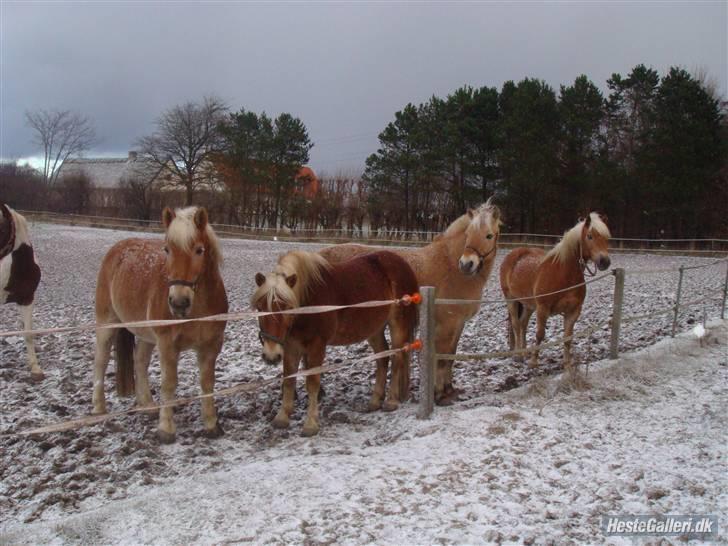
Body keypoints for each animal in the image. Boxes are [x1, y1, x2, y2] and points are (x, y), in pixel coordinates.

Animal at [91, 206, 228, 440]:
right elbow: (169, 384)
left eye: (199, 250)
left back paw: (147, 405)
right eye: (167, 249)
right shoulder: (167, 344)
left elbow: (207, 383)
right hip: (107, 324)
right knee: (101, 361)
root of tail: (119, 248)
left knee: (140, 361)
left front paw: (211, 424)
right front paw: (166, 429)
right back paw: (99, 408)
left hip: (146, 335)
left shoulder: (211, 345)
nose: (179, 302)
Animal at [252, 250, 418, 434]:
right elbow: (288, 380)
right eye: (260, 308)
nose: (271, 356)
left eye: (287, 308)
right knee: (383, 357)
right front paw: (282, 417)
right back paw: (375, 401)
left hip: (398, 324)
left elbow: (312, 383)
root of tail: (400, 261)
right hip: (374, 329)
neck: (308, 300)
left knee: (397, 358)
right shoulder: (290, 346)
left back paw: (391, 401)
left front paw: (311, 424)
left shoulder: (317, 346)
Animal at [322, 198, 504, 402]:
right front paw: (439, 392)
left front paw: (449, 389)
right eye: (468, 235)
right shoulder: (447, 324)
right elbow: (441, 358)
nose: (467, 264)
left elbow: (450, 356)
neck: (450, 267)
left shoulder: (459, 324)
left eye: (489, 235)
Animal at [498, 212, 612, 370]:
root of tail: (514, 253)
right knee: (515, 324)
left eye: (607, 238)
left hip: (528, 304)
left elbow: (568, 337)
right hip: (511, 299)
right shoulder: (542, 309)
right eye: (590, 236)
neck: (564, 274)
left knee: (523, 324)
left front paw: (567, 363)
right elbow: (540, 334)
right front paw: (533, 362)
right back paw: (519, 355)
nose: (604, 261)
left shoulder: (573, 311)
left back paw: (525, 352)